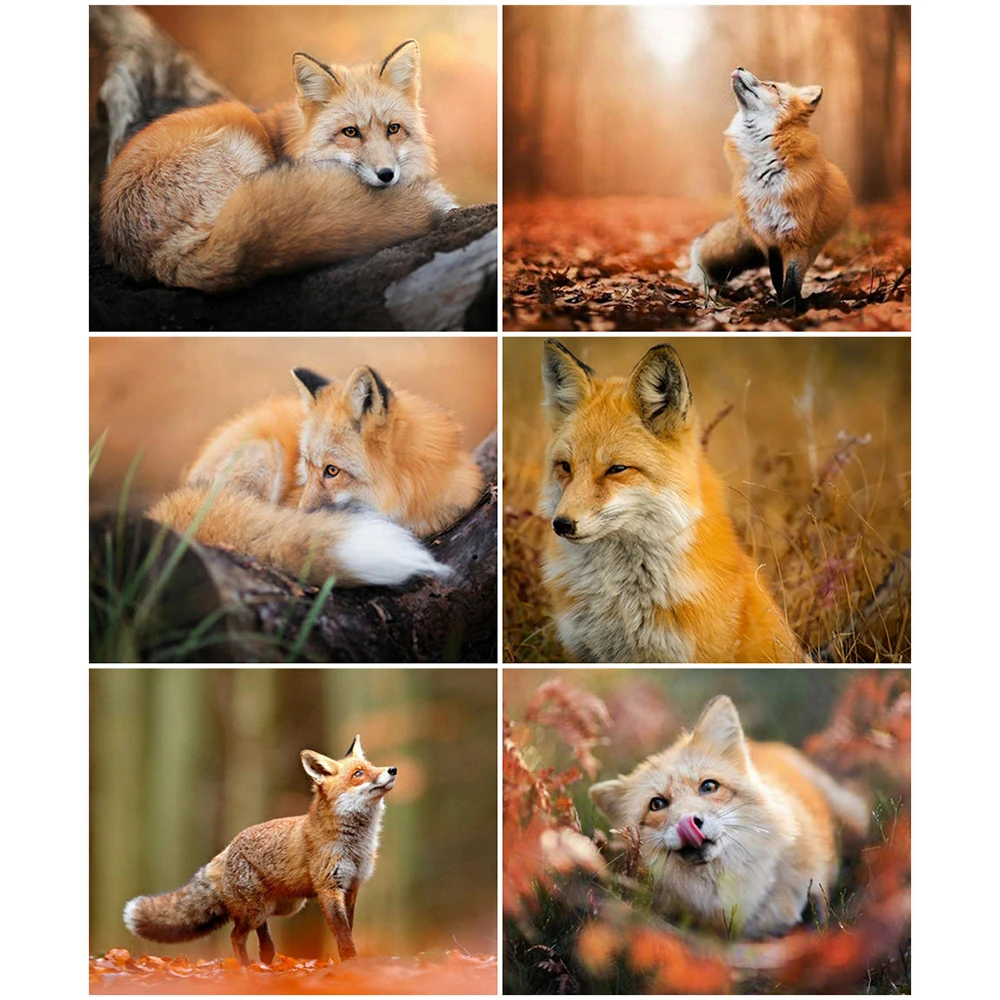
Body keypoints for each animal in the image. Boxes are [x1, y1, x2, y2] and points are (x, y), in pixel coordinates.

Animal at [100, 40, 455, 292]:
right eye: (350, 132)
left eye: (393, 129)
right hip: (242, 148)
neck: (289, 140)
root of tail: (159, 259)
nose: (387, 175)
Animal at [124, 737, 395, 965]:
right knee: (236, 935)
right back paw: (245, 968)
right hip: (257, 909)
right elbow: (342, 934)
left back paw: (265, 959)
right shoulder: (329, 887)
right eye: (358, 774)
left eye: (372, 766)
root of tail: (228, 847)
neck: (356, 845)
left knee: (261, 934)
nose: (392, 769)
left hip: (282, 906)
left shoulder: (352, 885)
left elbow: (348, 929)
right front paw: (350, 963)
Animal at [687, 67, 851, 310]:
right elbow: (776, 277)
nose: (740, 67)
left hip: (813, 244)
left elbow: (791, 281)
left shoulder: (797, 235)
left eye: (771, 86)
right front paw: (780, 304)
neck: (765, 176)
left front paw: (789, 308)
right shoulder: (767, 237)